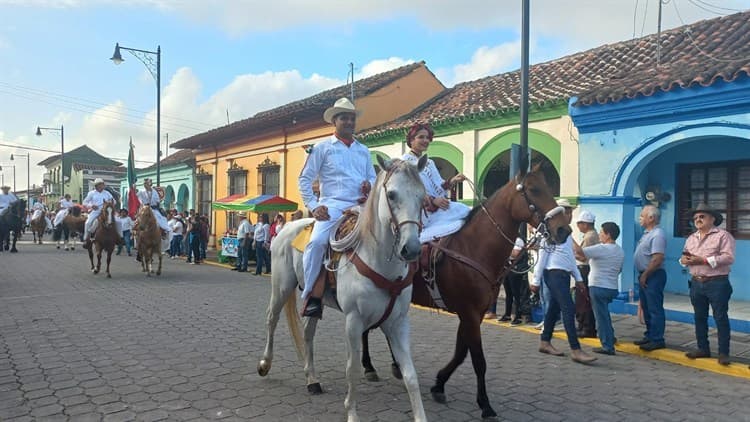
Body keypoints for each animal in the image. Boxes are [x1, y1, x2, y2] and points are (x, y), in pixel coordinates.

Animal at [258, 156, 428, 422]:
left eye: (422, 196)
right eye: (391, 194)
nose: (411, 249)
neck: (377, 259)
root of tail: (288, 226)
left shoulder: (398, 322)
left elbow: (410, 374)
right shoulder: (354, 321)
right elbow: (353, 369)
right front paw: (352, 413)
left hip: (313, 299)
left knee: (307, 332)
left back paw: (312, 379)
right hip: (281, 287)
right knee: (271, 320)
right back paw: (265, 363)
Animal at [362, 164, 572, 418]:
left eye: (549, 187)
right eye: (534, 189)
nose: (563, 230)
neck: (473, 247)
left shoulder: (474, 314)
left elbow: (461, 352)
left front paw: (439, 384)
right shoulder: (469, 313)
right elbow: (478, 360)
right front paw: (485, 404)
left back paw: (395, 366)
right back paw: (368, 366)